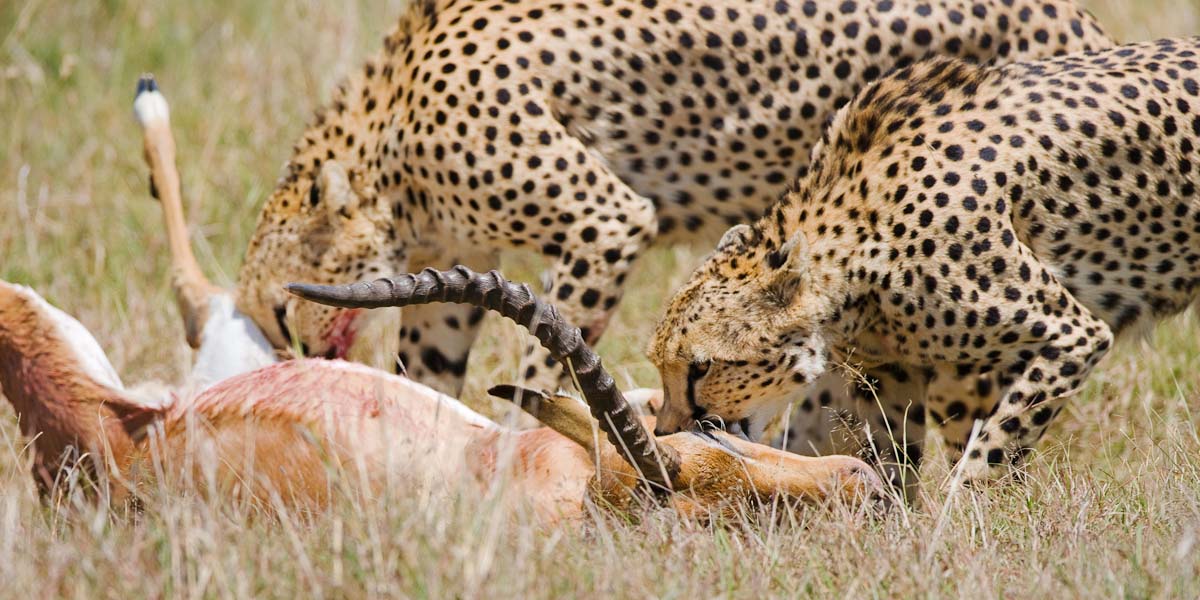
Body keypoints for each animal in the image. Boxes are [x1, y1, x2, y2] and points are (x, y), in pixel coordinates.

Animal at [238, 0, 1108, 393]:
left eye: (280, 312)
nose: (293, 365)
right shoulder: (452, 262)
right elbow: (430, 369)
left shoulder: (604, 220)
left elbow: (543, 362)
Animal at [652, 37, 1200, 487]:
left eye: (702, 368)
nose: (664, 433)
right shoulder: (890, 373)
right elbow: (884, 456)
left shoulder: (1073, 335)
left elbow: (987, 454)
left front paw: (959, 529)